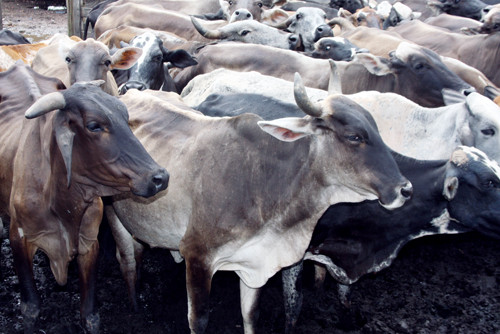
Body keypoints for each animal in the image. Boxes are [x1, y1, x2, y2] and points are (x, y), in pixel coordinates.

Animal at [107, 75, 412, 334]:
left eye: (377, 130)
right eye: (354, 136)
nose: (405, 189)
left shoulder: (254, 262)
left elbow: (250, 314)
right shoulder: (197, 256)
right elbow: (199, 320)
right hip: (113, 212)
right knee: (128, 260)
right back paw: (135, 307)